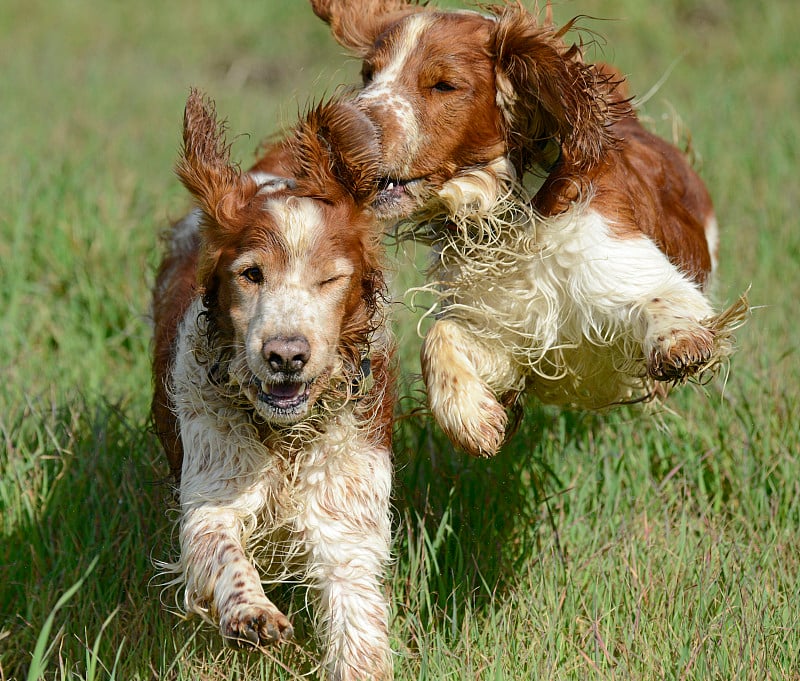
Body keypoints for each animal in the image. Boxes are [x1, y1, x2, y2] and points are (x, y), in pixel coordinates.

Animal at [150, 90, 394, 680]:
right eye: (251, 274)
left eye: (330, 278)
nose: (285, 355)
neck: (286, 437)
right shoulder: (212, 488)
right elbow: (220, 547)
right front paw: (252, 612)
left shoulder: (346, 525)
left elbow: (356, 622)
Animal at [310, 1, 748, 456]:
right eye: (368, 74)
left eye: (444, 85)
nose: (335, 133)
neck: (510, 216)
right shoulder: (511, 338)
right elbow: (439, 338)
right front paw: (472, 419)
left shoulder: (633, 268)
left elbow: (665, 302)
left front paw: (678, 343)